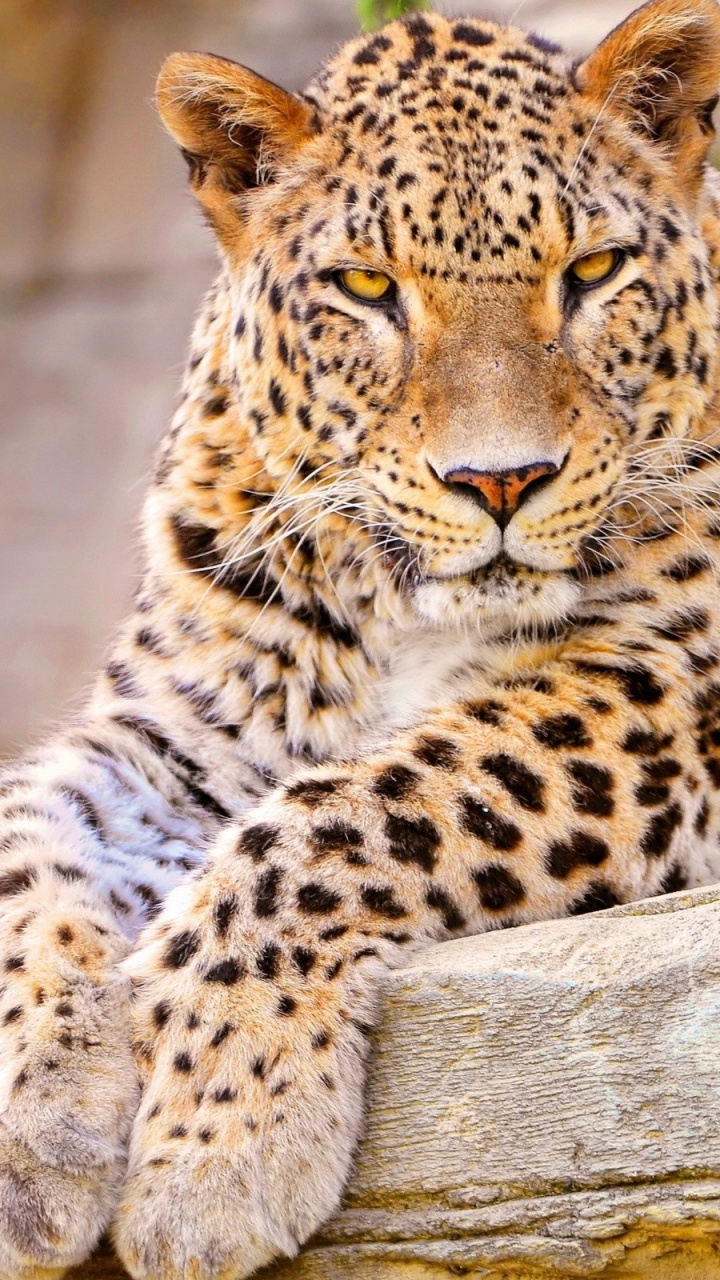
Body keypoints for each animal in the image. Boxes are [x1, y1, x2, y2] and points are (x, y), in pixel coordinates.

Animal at [2, 0, 720, 1276]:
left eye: (592, 271)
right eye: (367, 285)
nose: (501, 480)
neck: (401, 610)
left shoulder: (678, 678)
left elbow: (358, 804)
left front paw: (218, 1141)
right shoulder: (163, 738)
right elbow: (24, 836)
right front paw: (43, 1122)